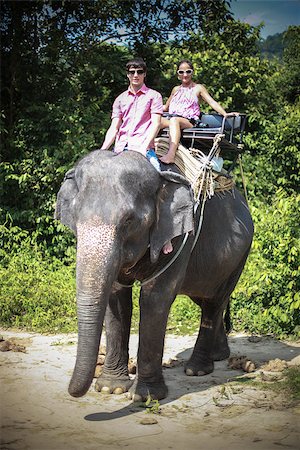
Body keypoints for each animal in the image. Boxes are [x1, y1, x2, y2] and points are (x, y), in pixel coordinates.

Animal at [55, 149, 253, 402]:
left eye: (129, 221)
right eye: (76, 219)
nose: (72, 392)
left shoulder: (180, 236)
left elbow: (155, 297)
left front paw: (145, 396)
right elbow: (116, 297)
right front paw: (111, 387)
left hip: (239, 257)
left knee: (214, 302)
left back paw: (197, 369)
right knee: (204, 298)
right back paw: (219, 355)